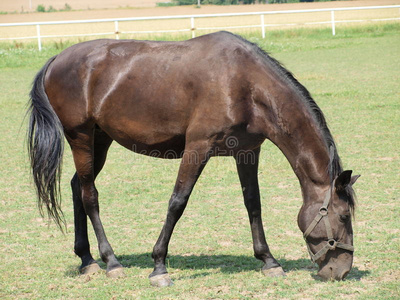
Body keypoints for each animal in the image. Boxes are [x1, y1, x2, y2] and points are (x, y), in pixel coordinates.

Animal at [27, 30, 360, 286]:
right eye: (344, 216)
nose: (341, 271)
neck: (244, 83)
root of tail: (57, 59)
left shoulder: (247, 151)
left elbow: (253, 203)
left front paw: (268, 260)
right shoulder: (198, 147)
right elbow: (178, 202)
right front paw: (159, 267)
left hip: (100, 140)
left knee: (77, 188)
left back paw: (87, 260)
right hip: (81, 137)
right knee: (90, 195)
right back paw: (111, 262)